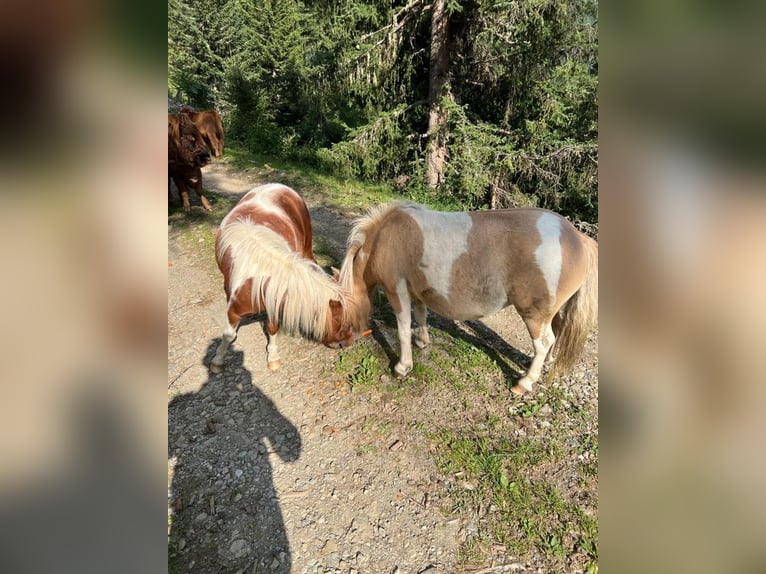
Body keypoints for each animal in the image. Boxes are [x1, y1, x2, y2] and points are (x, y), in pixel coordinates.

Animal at [212, 184, 358, 374]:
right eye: (340, 320)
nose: (348, 343)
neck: (257, 280)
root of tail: (277, 185)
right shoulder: (234, 311)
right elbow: (228, 335)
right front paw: (218, 360)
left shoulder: (274, 302)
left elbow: (273, 328)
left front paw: (273, 357)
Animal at [340, 202, 600, 396]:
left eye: (338, 308)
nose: (340, 344)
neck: (385, 237)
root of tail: (578, 238)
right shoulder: (418, 290)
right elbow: (421, 315)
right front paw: (422, 340)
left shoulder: (397, 290)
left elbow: (403, 330)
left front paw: (403, 367)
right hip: (552, 311)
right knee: (555, 334)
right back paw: (545, 363)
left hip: (534, 314)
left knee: (544, 342)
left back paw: (524, 383)